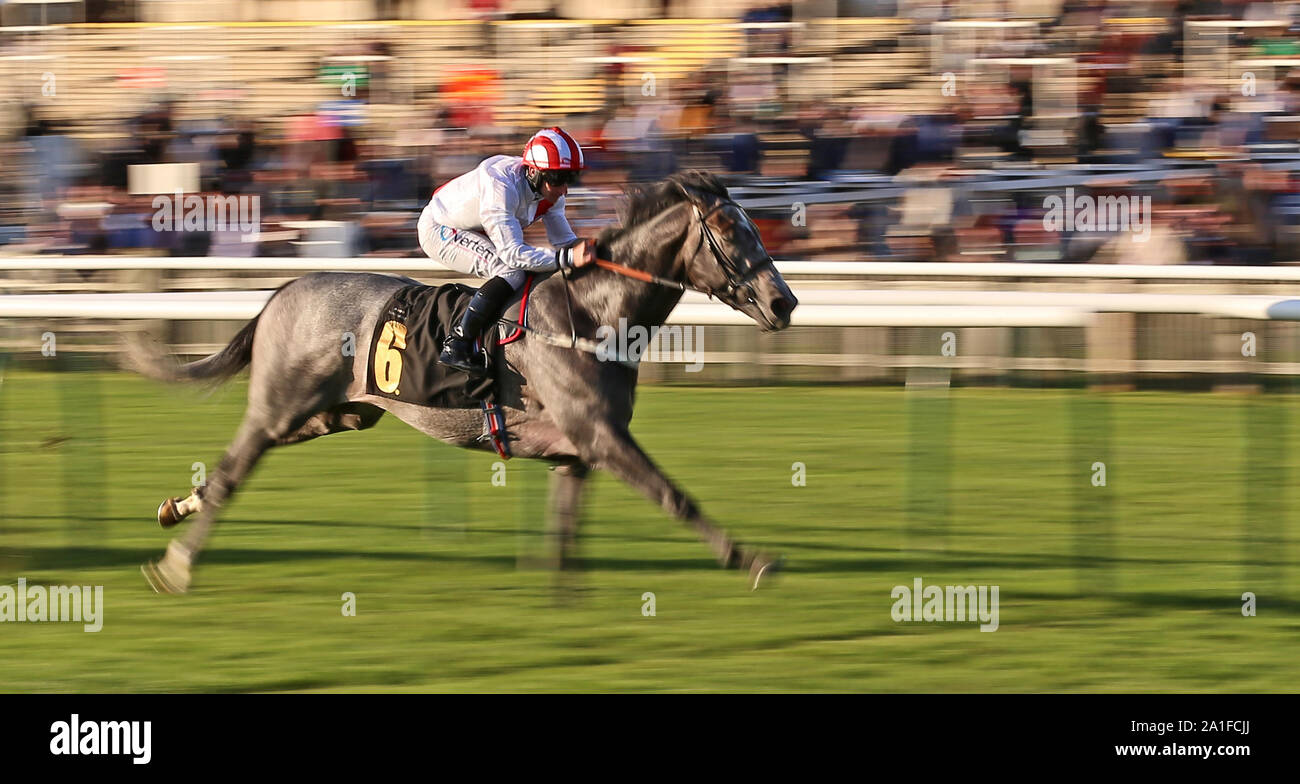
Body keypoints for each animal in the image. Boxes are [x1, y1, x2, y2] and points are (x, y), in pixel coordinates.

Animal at [124, 170, 790, 587]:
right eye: (730, 233)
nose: (785, 302)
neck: (590, 314)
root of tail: (284, 289)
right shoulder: (601, 437)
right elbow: (674, 496)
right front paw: (752, 559)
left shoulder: (575, 452)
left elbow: (565, 534)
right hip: (281, 405)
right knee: (236, 470)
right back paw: (178, 564)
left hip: (339, 412)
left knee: (232, 466)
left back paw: (177, 506)